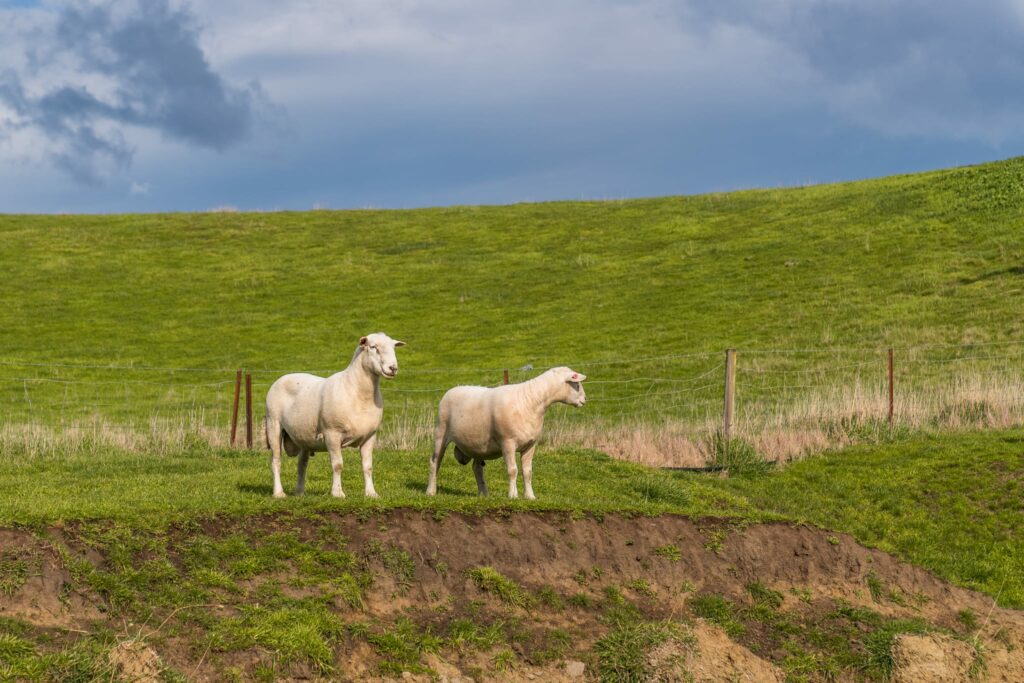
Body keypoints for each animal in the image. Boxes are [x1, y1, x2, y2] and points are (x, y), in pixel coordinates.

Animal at [264, 333, 403, 499]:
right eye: (373, 347)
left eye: (394, 347)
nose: (393, 368)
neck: (359, 392)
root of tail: (283, 377)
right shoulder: (332, 433)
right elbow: (337, 465)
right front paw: (337, 493)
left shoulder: (370, 436)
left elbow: (368, 466)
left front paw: (371, 493)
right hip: (273, 424)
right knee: (276, 461)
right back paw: (279, 493)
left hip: (304, 436)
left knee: (301, 465)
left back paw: (299, 492)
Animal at [423, 366, 585, 499]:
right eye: (576, 384)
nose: (585, 399)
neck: (531, 401)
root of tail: (452, 390)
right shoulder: (508, 442)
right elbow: (512, 470)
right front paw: (513, 495)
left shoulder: (530, 445)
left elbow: (528, 472)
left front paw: (530, 496)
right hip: (441, 432)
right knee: (435, 462)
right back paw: (431, 491)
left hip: (477, 444)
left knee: (477, 468)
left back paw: (484, 494)